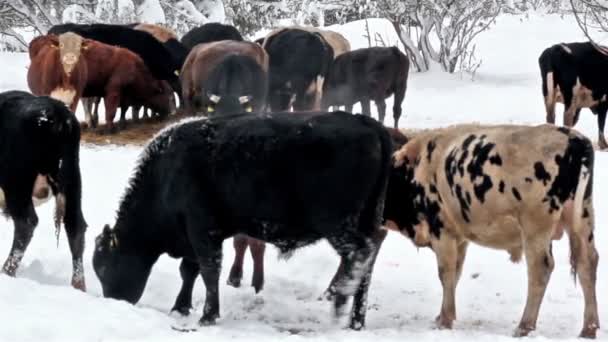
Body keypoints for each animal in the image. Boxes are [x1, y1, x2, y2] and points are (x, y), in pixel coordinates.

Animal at [0, 90, 86, 292]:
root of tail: (57, 111)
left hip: (16, 181)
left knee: (26, 222)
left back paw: (6, 271)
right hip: (72, 180)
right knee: (75, 226)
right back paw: (78, 286)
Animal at [28, 32, 176, 132]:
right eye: (169, 96)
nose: (171, 112)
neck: (134, 67)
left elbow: (124, 109)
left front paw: (123, 123)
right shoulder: (113, 91)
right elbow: (111, 111)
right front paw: (110, 129)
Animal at [92, 111, 392, 330]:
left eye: (104, 267)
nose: (113, 302)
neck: (166, 173)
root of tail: (365, 122)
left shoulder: (202, 231)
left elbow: (208, 271)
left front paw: (207, 316)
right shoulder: (192, 235)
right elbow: (189, 271)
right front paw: (181, 307)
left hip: (337, 224)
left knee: (360, 253)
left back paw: (339, 300)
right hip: (363, 220)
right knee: (367, 265)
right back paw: (355, 320)